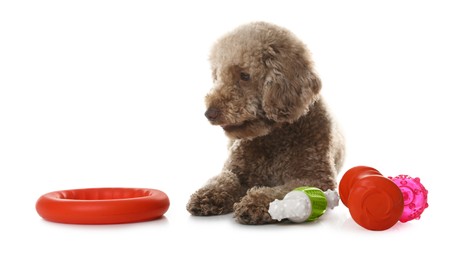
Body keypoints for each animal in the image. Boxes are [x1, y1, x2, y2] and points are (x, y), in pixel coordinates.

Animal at [185, 21, 342, 224]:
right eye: (217, 76)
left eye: (245, 76)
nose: (209, 113)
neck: (274, 138)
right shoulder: (236, 170)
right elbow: (225, 178)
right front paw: (208, 195)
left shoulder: (316, 179)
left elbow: (281, 192)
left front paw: (254, 203)